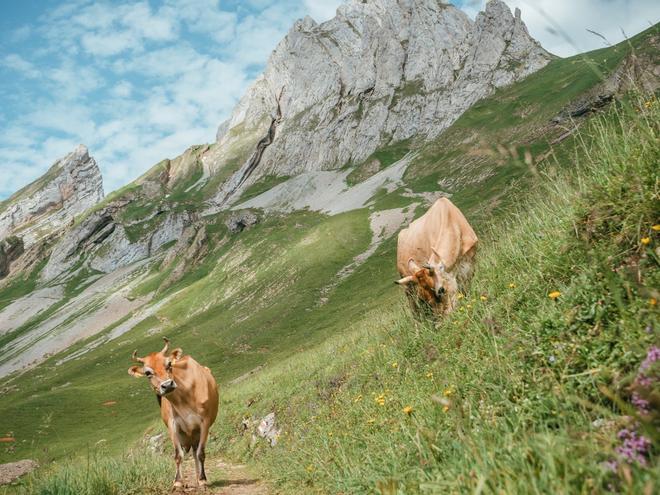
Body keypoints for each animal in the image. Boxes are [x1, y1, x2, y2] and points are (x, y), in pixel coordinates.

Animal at [129, 340, 219, 490]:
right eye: (148, 373)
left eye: (169, 364)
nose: (167, 385)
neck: (184, 398)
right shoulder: (173, 424)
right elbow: (178, 455)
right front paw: (178, 482)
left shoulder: (204, 422)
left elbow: (201, 453)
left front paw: (202, 480)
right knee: (192, 452)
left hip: (196, 431)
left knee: (196, 453)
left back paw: (198, 477)